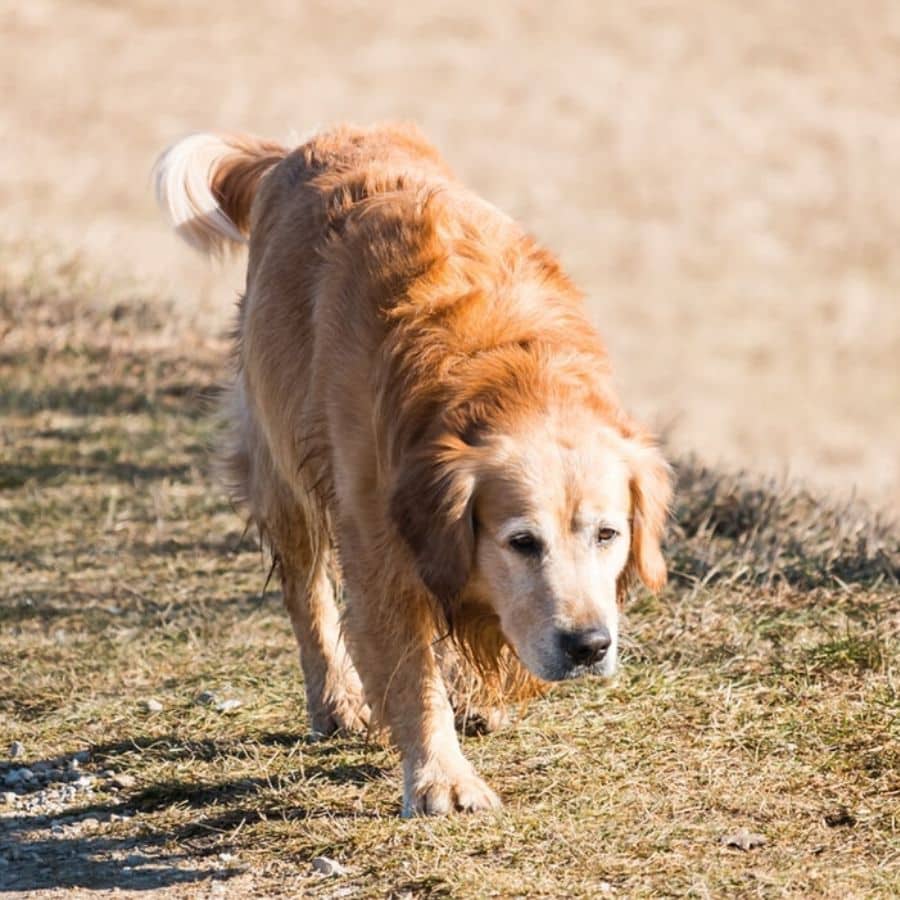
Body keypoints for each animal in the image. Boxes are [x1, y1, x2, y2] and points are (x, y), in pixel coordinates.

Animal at [153, 121, 668, 816]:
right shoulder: (378, 541)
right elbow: (410, 672)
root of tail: (308, 144)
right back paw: (336, 701)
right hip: (280, 458)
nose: (590, 646)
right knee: (306, 593)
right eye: (521, 542)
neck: (503, 371)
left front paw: (472, 705)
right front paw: (441, 778)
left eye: (609, 534)